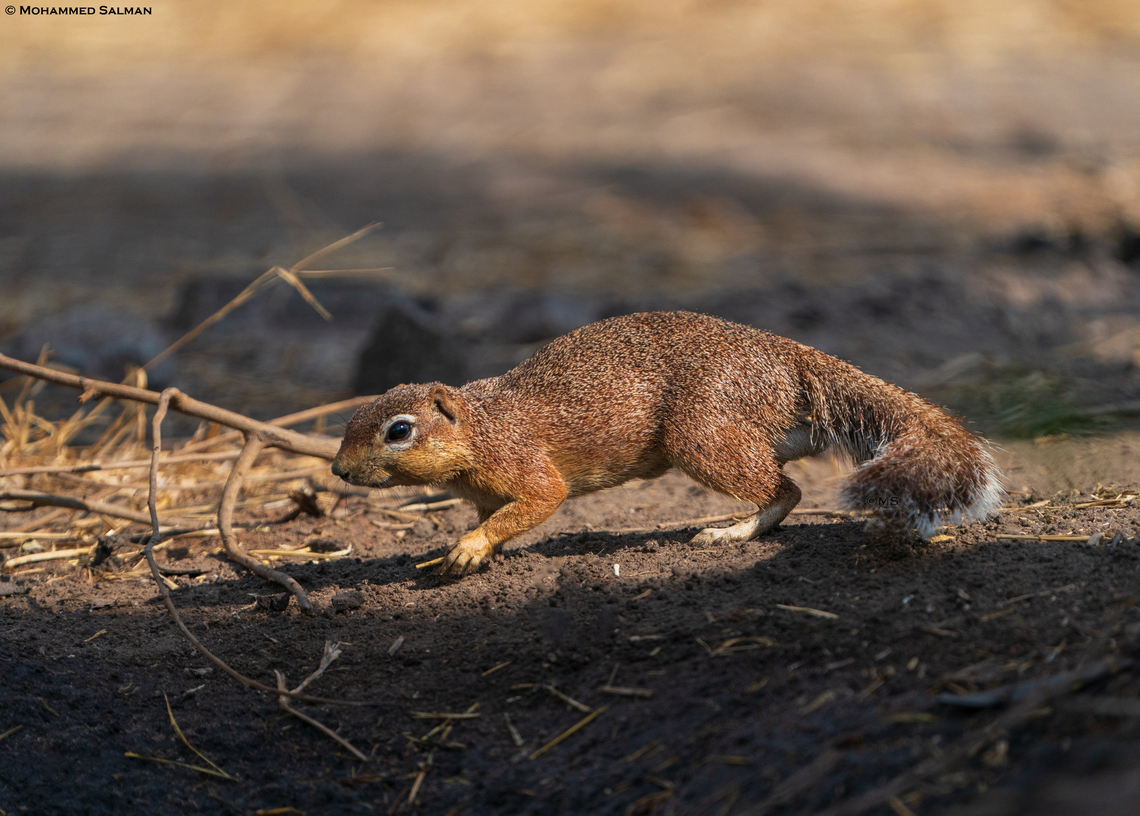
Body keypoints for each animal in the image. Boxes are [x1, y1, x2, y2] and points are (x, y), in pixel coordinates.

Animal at [332, 311, 1003, 576]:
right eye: (348, 420)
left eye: (399, 430)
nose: (337, 470)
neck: (482, 425)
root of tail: (787, 358)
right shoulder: (484, 492)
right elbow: (494, 518)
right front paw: (474, 548)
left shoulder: (527, 466)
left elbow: (540, 500)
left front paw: (470, 549)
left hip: (701, 432)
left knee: (784, 490)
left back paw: (730, 531)